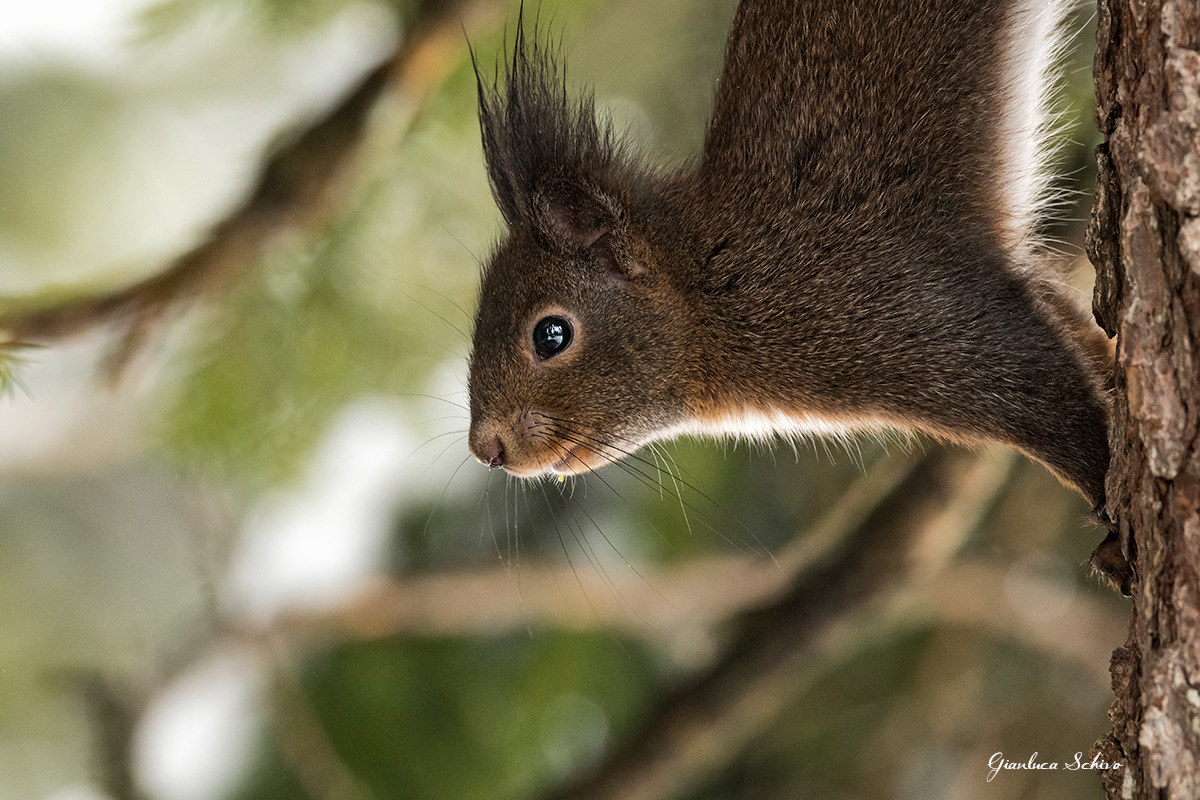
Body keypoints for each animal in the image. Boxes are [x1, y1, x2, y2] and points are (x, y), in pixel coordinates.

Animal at [465, 0, 1130, 592]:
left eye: (551, 334)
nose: (486, 449)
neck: (711, 290)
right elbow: (1077, 334)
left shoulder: (900, 307)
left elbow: (1048, 393)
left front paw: (1112, 512)